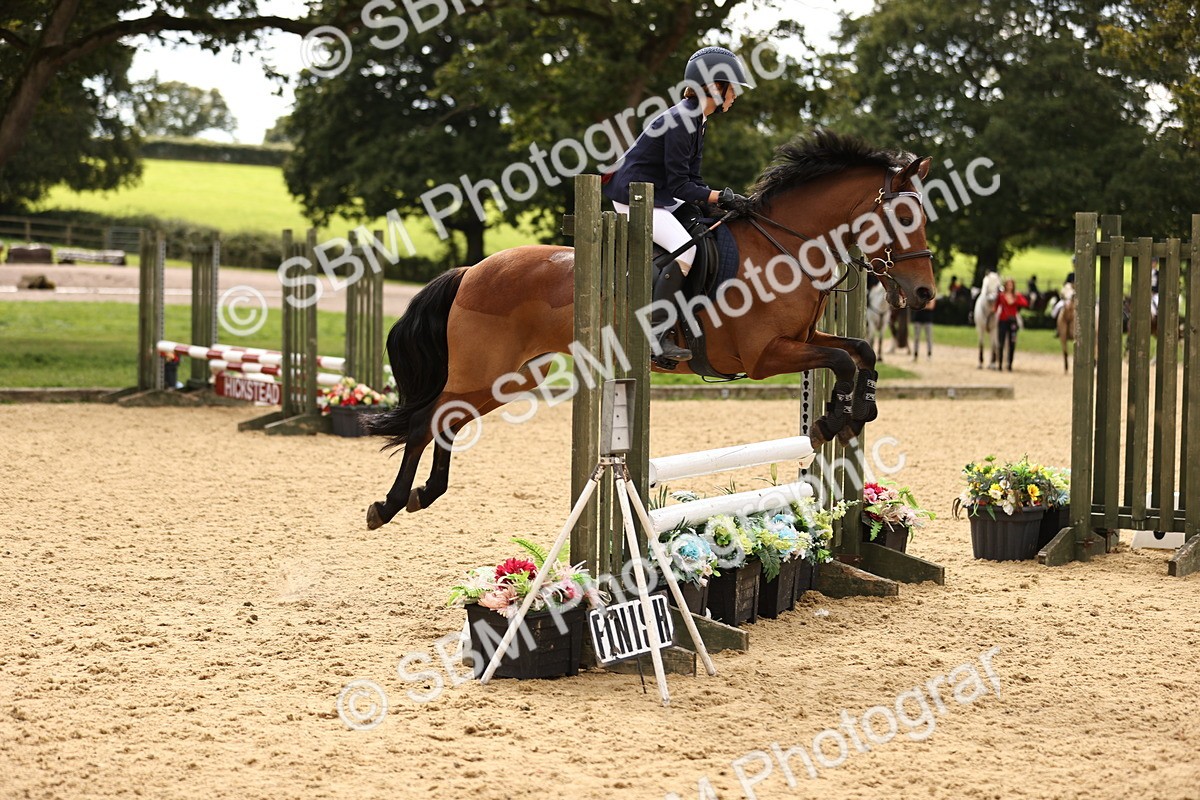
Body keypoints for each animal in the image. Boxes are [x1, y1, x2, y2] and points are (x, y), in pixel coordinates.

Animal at [364, 131, 936, 529]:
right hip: (487, 371)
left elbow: (859, 351)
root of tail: (472, 270)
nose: (925, 294)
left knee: (448, 420)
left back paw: (423, 494)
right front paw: (830, 422)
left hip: (512, 379)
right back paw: (388, 504)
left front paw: (857, 412)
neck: (787, 247)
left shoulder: (802, 340)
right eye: (904, 215)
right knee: (428, 421)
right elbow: (841, 361)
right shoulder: (764, 356)